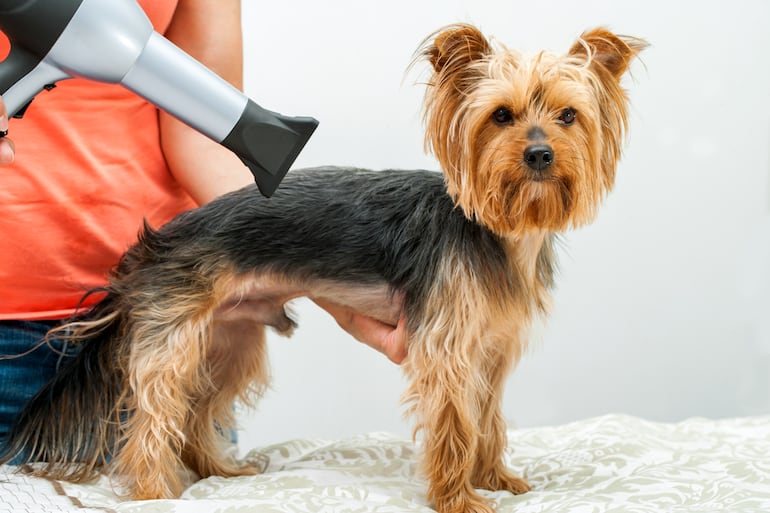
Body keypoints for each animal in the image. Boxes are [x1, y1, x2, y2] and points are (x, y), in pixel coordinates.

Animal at [1, 26, 640, 512]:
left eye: (568, 116)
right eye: (501, 116)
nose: (539, 154)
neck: (498, 232)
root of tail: (159, 239)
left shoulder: (490, 349)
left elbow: (486, 419)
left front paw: (496, 478)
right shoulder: (447, 350)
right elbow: (456, 423)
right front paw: (460, 499)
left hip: (232, 336)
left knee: (199, 409)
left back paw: (218, 472)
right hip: (173, 333)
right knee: (155, 413)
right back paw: (155, 490)